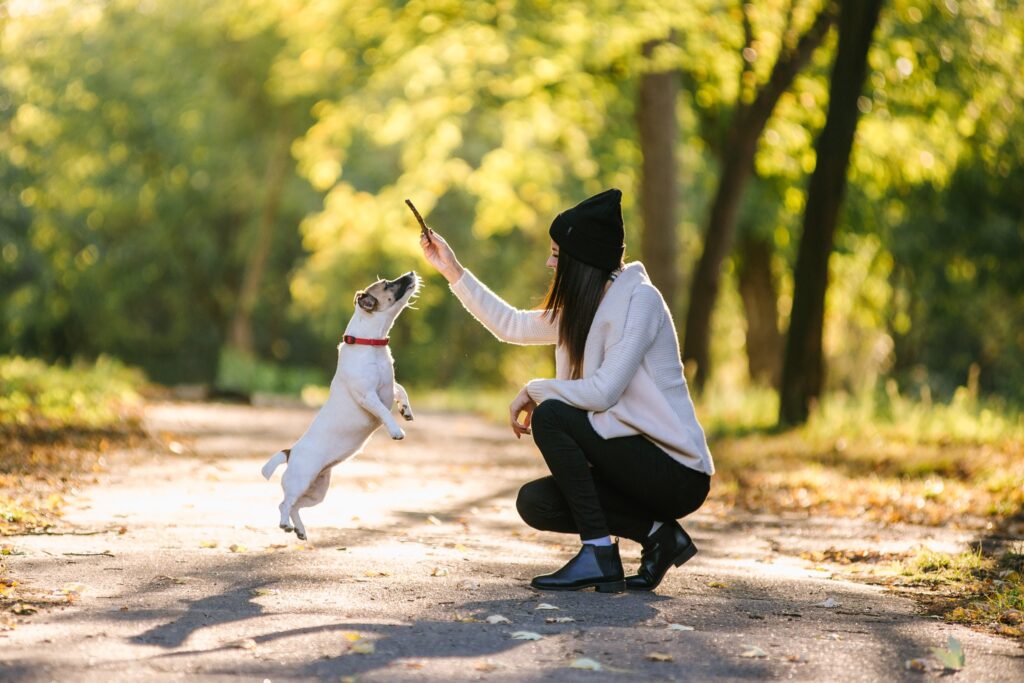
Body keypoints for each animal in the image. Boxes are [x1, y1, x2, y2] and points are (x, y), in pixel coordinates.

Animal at [264, 270, 423, 540]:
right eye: (387, 284)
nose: (411, 273)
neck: (370, 343)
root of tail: (290, 452)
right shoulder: (368, 395)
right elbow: (383, 410)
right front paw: (396, 429)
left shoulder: (388, 385)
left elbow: (401, 389)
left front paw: (406, 410)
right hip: (301, 479)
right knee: (284, 503)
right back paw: (285, 524)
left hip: (317, 490)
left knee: (296, 506)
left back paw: (300, 530)